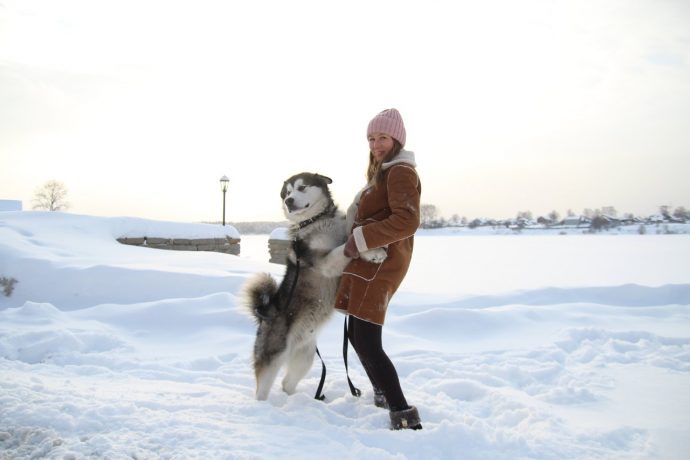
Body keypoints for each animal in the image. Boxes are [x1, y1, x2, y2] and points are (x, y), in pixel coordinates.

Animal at [241, 172, 382, 398]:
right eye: (287, 193)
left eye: (302, 187)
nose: (289, 201)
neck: (317, 221)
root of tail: (263, 314)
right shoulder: (324, 262)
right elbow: (345, 247)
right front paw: (375, 252)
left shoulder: (344, 230)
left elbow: (352, 231)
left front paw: (361, 194)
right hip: (273, 356)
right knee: (263, 387)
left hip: (305, 358)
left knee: (286, 383)